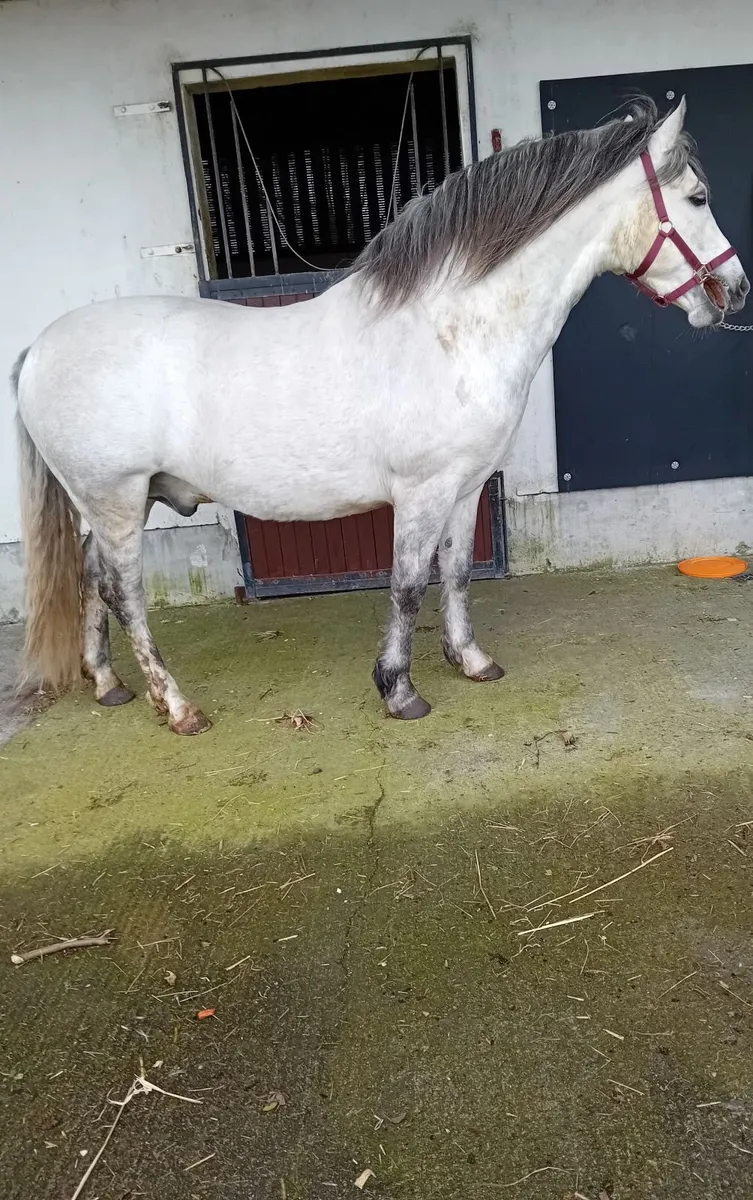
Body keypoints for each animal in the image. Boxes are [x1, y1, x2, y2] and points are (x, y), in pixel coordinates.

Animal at [12, 97, 748, 735]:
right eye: (697, 198)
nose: (735, 288)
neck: (450, 330)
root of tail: (40, 347)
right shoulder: (421, 492)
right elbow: (407, 584)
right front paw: (399, 690)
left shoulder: (465, 485)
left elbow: (456, 572)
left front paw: (471, 661)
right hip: (116, 498)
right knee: (125, 593)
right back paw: (177, 707)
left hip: (107, 504)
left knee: (92, 580)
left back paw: (109, 684)